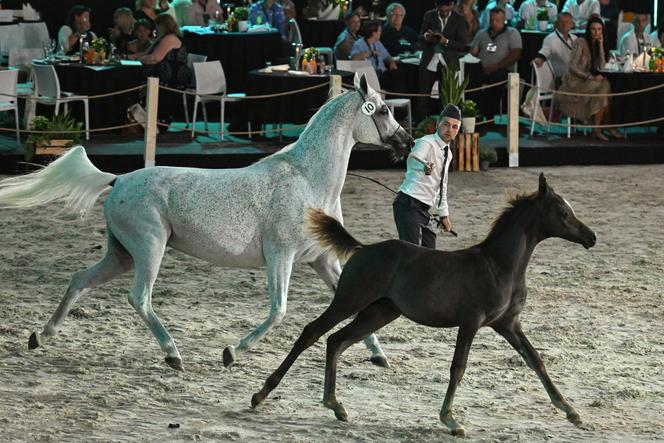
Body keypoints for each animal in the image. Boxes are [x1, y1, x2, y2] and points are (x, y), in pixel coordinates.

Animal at [0, 74, 412, 372]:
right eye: (383, 111)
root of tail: (118, 179)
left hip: (122, 255)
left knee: (80, 281)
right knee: (139, 298)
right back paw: (173, 355)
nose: (407, 143)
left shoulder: (321, 260)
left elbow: (352, 303)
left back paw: (42, 336)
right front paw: (232, 352)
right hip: (149, 249)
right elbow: (278, 311)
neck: (307, 180)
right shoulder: (281, 256)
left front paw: (379, 356)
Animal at [253, 173, 596, 438]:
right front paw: (451, 420)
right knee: (312, 332)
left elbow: (536, 360)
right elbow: (458, 367)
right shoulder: (471, 321)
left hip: (380, 311)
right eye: (562, 212)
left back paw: (336, 406)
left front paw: (571, 411)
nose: (591, 236)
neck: (499, 266)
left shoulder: (508, 324)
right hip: (350, 299)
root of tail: (363, 249)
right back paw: (261, 395)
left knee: (336, 341)